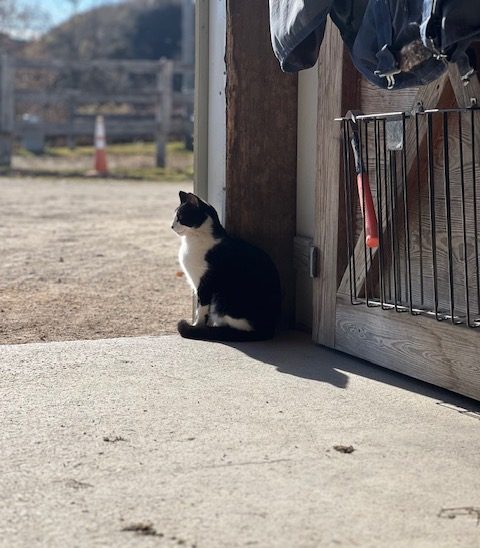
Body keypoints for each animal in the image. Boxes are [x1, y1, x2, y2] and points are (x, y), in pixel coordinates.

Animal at [172, 191, 282, 340]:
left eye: (180, 217)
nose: (172, 226)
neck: (194, 239)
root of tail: (269, 329)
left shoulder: (205, 284)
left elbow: (201, 309)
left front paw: (196, 327)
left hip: (223, 297)